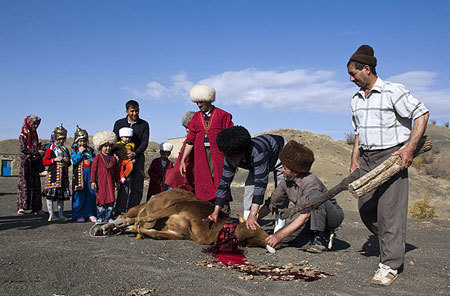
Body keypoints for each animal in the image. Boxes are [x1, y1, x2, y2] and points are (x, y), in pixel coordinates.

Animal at [95, 188, 270, 249]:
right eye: (255, 227)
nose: (272, 241)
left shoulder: (180, 234)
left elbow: (153, 232)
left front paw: (136, 230)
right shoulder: (177, 206)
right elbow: (148, 220)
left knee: (131, 220)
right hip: (144, 206)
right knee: (125, 216)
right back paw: (107, 226)